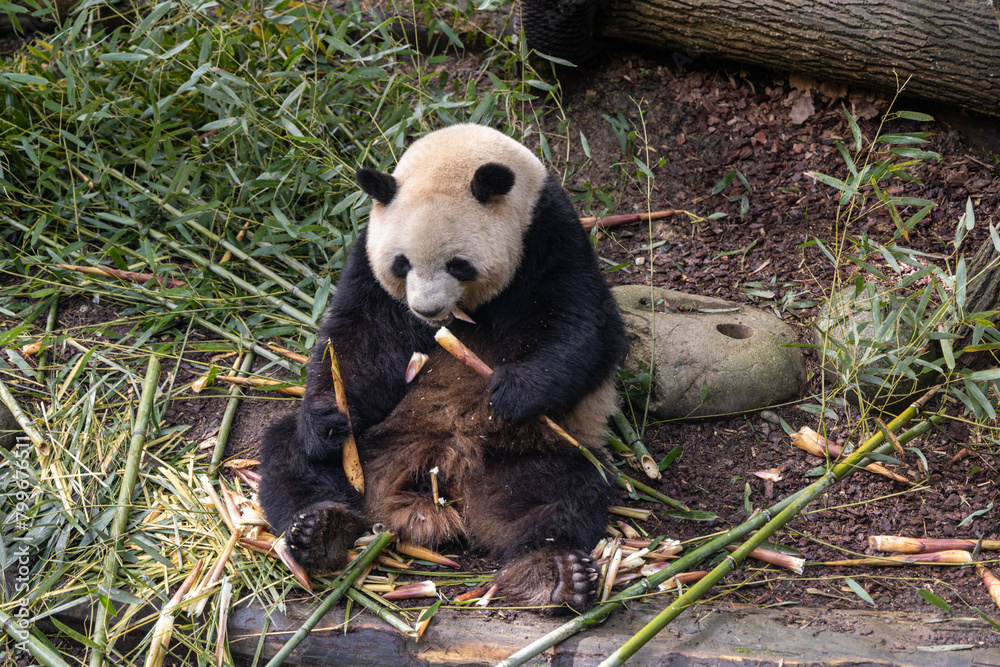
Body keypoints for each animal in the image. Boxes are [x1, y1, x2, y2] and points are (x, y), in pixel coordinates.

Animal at [259, 123, 627, 611]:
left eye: (459, 264)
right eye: (401, 263)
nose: (426, 309)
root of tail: (438, 473)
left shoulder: (549, 235)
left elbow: (578, 324)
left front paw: (512, 393)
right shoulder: (367, 257)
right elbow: (360, 338)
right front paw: (328, 415)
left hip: (524, 449)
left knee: (559, 493)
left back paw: (555, 573)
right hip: (376, 443)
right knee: (292, 456)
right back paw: (319, 530)